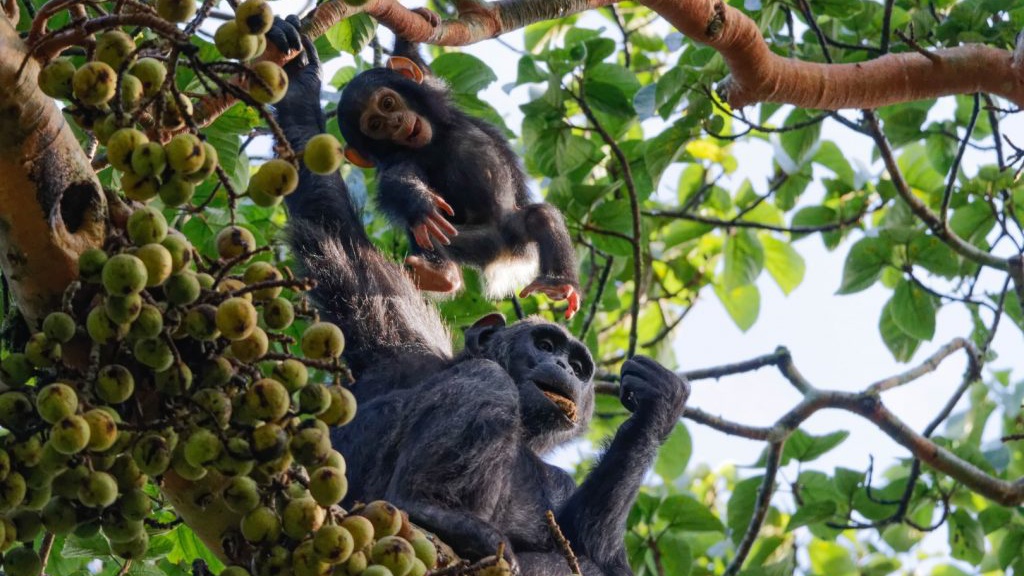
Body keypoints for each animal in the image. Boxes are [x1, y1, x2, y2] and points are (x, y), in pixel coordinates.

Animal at [269, 18, 689, 575]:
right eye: (545, 345)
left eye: (579, 365)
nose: (565, 367)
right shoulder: (398, 341)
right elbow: (332, 225)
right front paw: (300, 81)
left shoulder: (561, 485)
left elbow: (595, 552)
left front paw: (658, 403)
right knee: (487, 379)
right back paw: (435, 511)